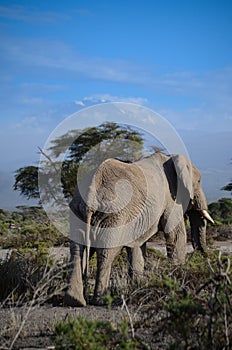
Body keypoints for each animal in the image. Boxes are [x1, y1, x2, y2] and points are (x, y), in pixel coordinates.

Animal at [64, 152, 214, 304]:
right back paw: (101, 300)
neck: (170, 157)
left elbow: (137, 246)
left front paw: (138, 286)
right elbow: (177, 236)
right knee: (106, 252)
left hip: (77, 210)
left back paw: (74, 300)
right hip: (115, 214)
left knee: (77, 249)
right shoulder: (171, 199)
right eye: (199, 181)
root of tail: (90, 197)